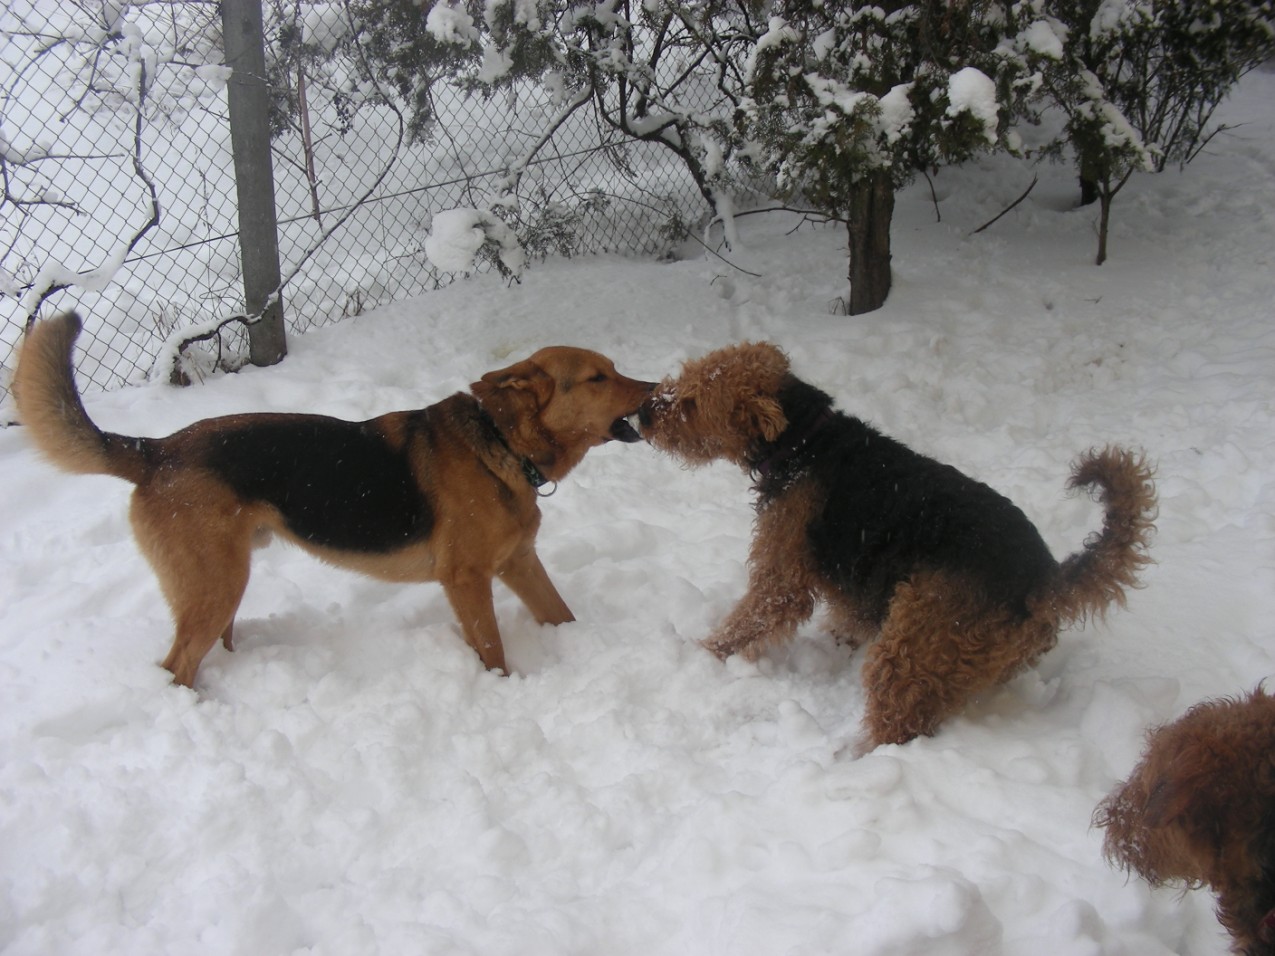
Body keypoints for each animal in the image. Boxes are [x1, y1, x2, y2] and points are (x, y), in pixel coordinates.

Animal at [14, 314, 657, 688]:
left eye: (614, 371)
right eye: (598, 378)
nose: (658, 391)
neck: (500, 442)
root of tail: (156, 450)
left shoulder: (520, 563)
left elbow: (562, 614)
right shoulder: (468, 580)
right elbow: (493, 651)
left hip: (222, 582)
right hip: (216, 584)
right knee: (176, 666)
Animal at [637, 341, 1157, 754]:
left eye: (692, 402)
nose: (643, 412)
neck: (804, 442)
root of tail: (1043, 580)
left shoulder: (781, 578)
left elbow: (745, 622)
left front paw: (701, 655)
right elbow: (845, 621)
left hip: (910, 648)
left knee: (897, 725)